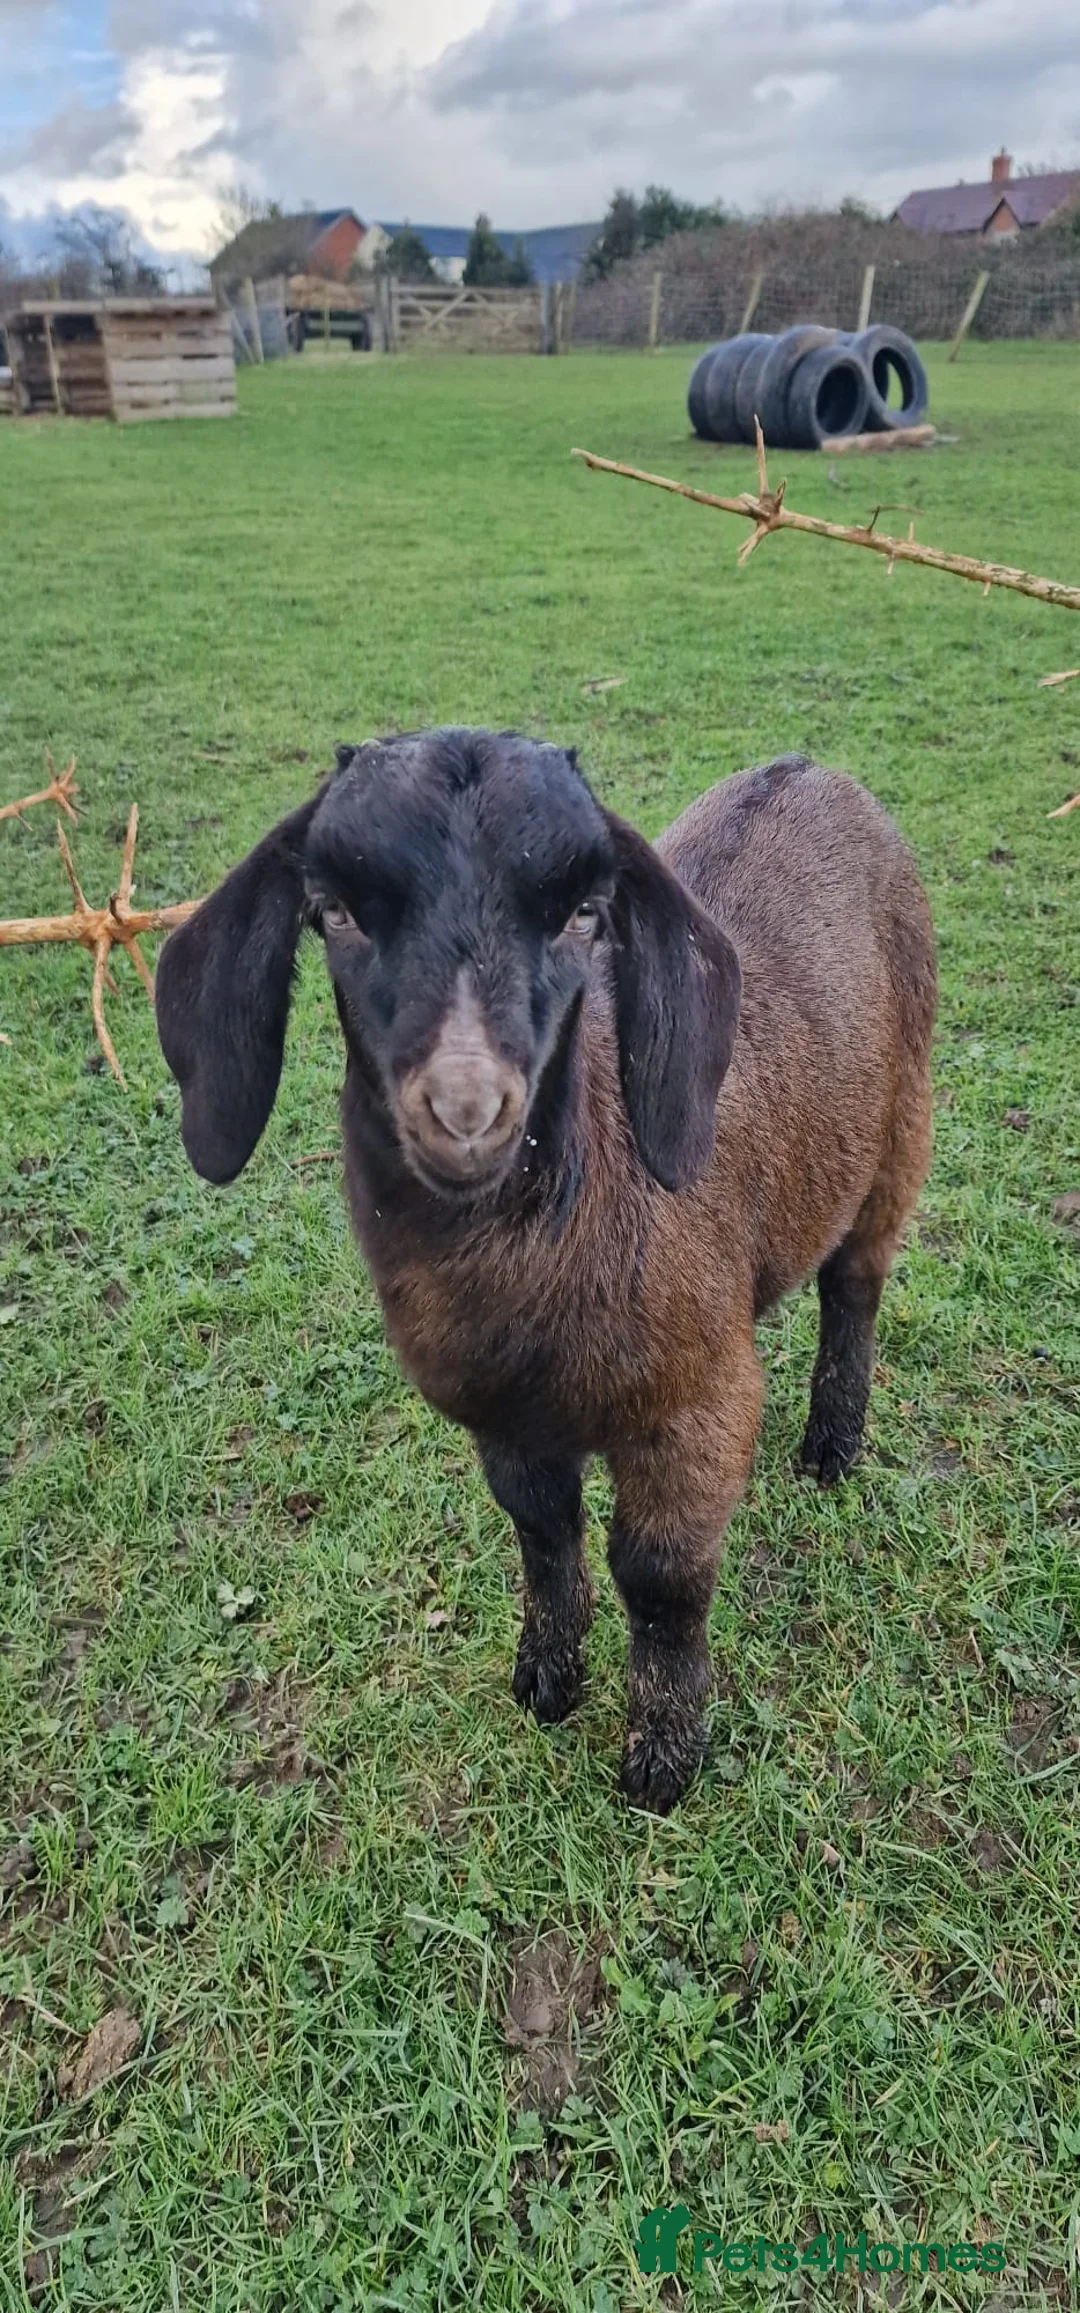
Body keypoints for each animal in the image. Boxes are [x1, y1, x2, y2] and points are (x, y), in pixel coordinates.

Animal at [156, 731, 936, 1813]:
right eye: (338, 912)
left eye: (581, 915)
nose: (467, 1108)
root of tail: (805, 765)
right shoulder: (506, 1418)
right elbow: (542, 1530)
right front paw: (547, 1680)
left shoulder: (696, 1401)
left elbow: (659, 1578)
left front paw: (661, 1760)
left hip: (902, 1116)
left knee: (855, 1283)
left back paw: (830, 1444)